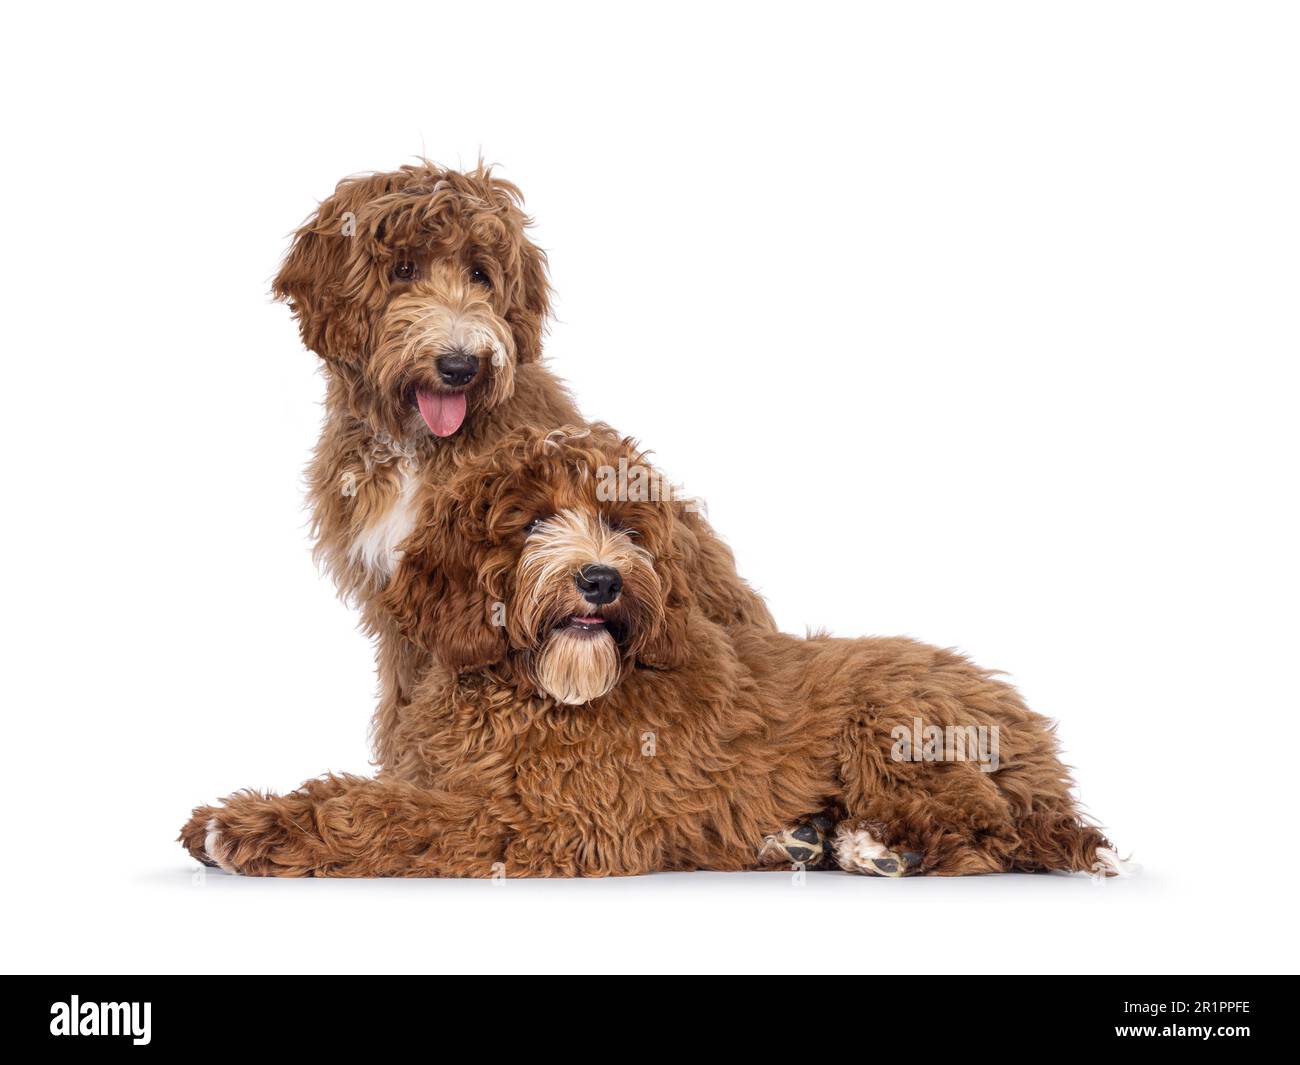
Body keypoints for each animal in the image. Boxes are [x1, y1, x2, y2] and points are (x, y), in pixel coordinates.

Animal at [178, 429, 1123, 879]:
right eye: (531, 521)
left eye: (627, 525)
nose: (600, 579)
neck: (531, 692)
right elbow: (390, 794)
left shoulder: (551, 821)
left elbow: (393, 816)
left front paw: (248, 826)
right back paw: (811, 838)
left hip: (889, 722)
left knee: (990, 824)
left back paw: (869, 846)